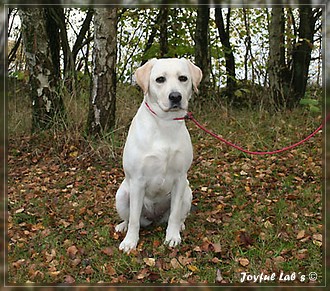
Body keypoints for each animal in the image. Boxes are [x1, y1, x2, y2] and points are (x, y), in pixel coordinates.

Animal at [117, 57, 202, 253]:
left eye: (183, 78)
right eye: (160, 79)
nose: (175, 97)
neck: (166, 123)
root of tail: (153, 219)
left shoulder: (180, 179)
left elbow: (175, 214)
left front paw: (172, 236)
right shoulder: (137, 181)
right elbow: (134, 219)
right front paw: (130, 241)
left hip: (188, 192)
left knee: (178, 216)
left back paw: (180, 226)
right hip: (122, 195)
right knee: (131, 218)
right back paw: (123, 226)